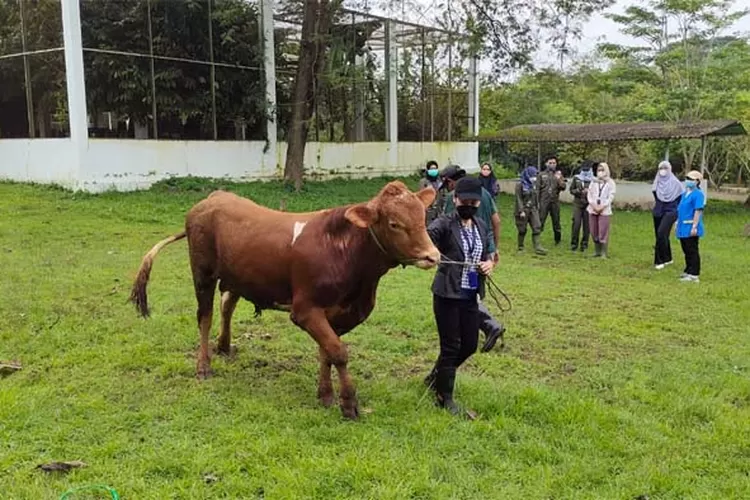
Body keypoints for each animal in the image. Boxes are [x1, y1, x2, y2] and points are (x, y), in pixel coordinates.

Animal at [129, 180, 440, 418]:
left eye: (423, 218)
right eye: (394, 223)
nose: (433, 256)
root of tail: (212, 198)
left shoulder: (338, 314)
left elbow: (327, 352)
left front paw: (325, 394)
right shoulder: (305, 310)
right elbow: (338, 352)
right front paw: (348, 402)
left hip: (239, 275)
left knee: (227, 305)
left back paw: (225, 345)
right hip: (202, 273)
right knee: (204, 316)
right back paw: (203, 366)